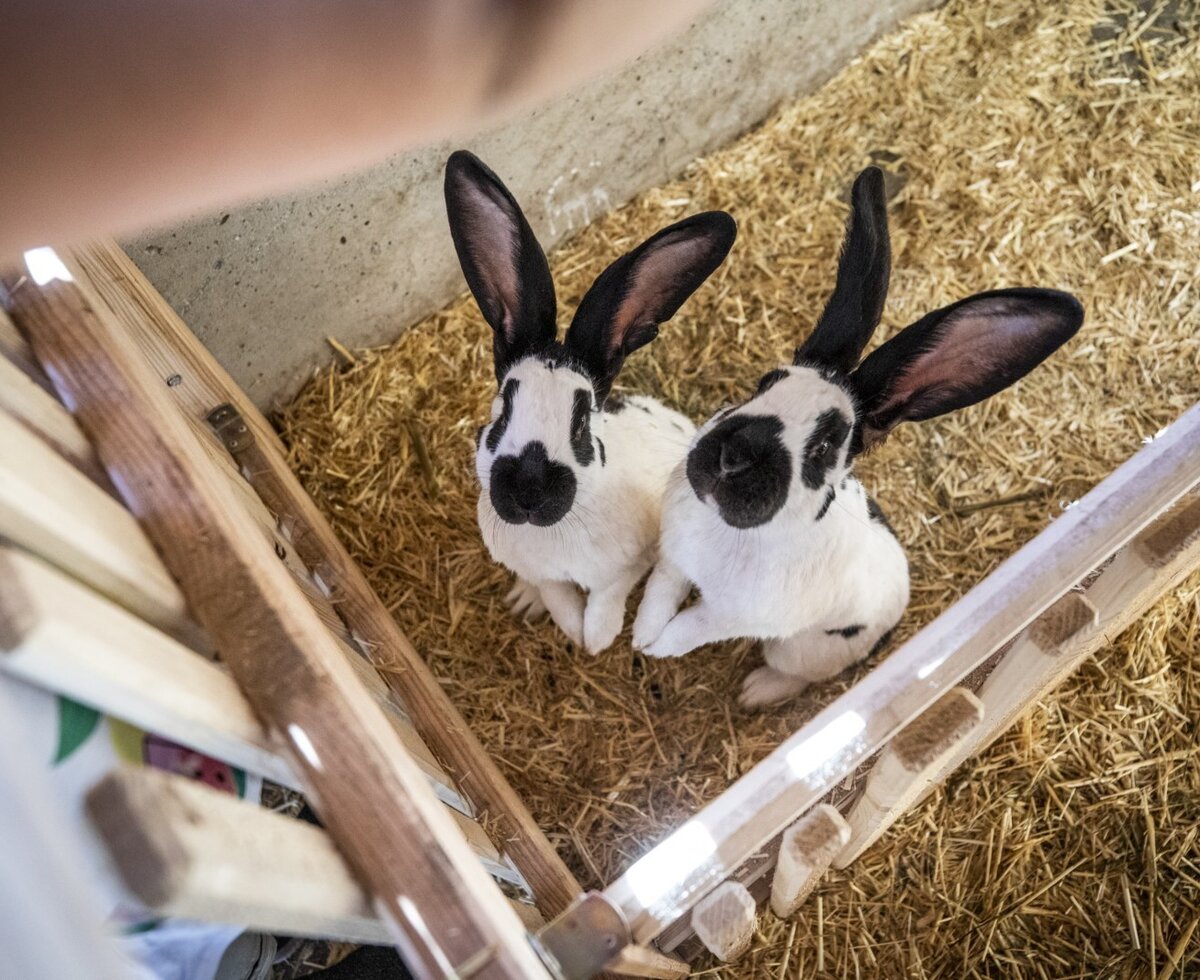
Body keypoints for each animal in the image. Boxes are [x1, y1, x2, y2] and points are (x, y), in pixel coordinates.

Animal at [444, 150, 737, 654]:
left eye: (581, 421)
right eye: (502, 410)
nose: (528, 492)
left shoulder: (629, 562)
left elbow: (605, 598)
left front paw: (595, 639)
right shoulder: (540, 571)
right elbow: (555, 594)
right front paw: (566, 624)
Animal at [632, 166, 1084, 707]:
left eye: (829, 443)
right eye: (764, 384)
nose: (733, 457)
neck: (729, 529)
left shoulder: (731, 616)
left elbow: (691, 627)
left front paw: (659, 648)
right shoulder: (675, 558)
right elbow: (660, 593)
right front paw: (640, 637)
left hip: (800, 649)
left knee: (794, 672)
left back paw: (756, 692)